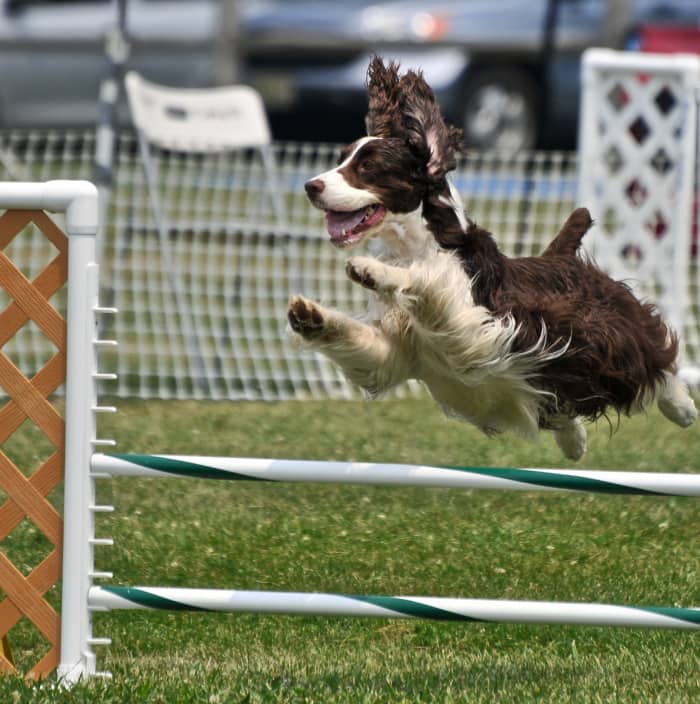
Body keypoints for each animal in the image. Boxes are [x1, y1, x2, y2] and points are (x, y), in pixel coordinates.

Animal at [286, 56, 696, 462]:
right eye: (341, 159)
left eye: (368, 167)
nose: (309, 186)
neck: (413, 246)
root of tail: (561, 256)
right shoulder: (399, 351)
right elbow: (368, 348)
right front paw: (308, 315)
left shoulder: (474, 323)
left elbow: (428, 282)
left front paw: (372, 270)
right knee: (560, 403)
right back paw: (574, 441)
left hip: (611, 334)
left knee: (656, 362)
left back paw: (682, 408)